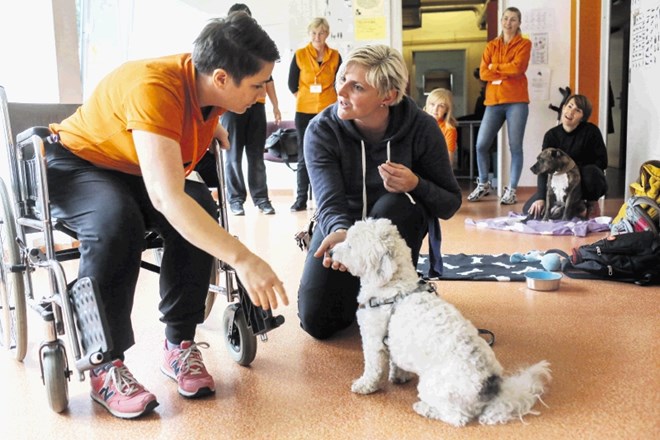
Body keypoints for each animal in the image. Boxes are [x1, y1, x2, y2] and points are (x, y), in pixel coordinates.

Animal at [330, 218, 552, 428]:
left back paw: (425, 408)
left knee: (457, 418)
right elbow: (396, 362)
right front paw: (399, 376)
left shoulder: (373, 341)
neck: (394, 288)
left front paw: (365, 385)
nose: (331, 251)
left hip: (434, 388)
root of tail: (491, 387)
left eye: (350, 245)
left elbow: (373, 370)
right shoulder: (392, 341)